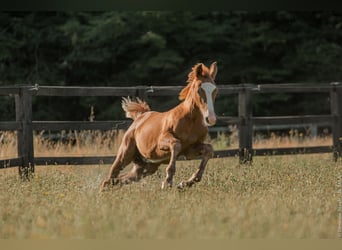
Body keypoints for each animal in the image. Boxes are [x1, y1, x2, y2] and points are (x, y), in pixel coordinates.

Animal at [101, 61, 219, 190]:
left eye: (215, 90)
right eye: (199, 89)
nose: (210, 118)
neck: (190, 121)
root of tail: (140, 117)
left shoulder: (190, 150)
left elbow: (209, 149)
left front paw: (185, 183)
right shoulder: (161, 142)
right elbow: (176, 144)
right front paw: (167, 181)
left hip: (147, 167)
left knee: (119, 179)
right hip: (125, 154)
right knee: (110, 178)